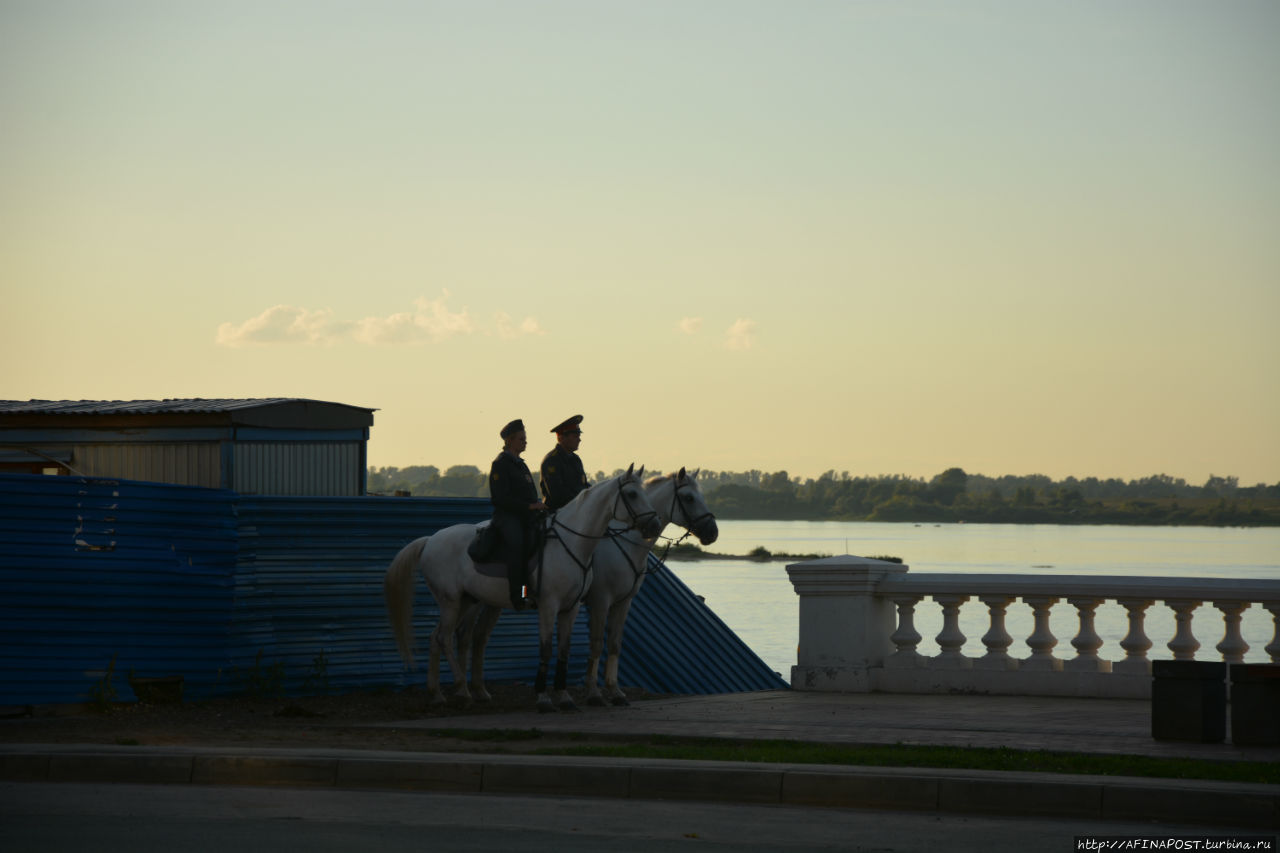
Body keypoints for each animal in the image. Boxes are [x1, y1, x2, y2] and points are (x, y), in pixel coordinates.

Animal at [378, 461, 660, 706]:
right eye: (632, 494)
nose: (654, 525)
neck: (574, 542)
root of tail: (430, 540)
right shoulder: (551, 605)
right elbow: (546, 649)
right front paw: (544, 698)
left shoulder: (572, 608)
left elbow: (564, 650)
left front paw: (564, 697)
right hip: (451, 601)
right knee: (445, 638)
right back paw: (462, 690)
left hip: (467, 601)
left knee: (439, 638)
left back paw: (440, 693)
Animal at [460, 466, 721, 701]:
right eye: (689, 498)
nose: (713, 532)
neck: (627, 544)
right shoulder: (600, 601)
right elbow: (596, 644)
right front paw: (593, 692)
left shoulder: (623, 603)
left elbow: (614, 644)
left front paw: (614, 691)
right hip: (473, 601)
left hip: (490, 601)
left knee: (478, 637)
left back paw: (478, 690)